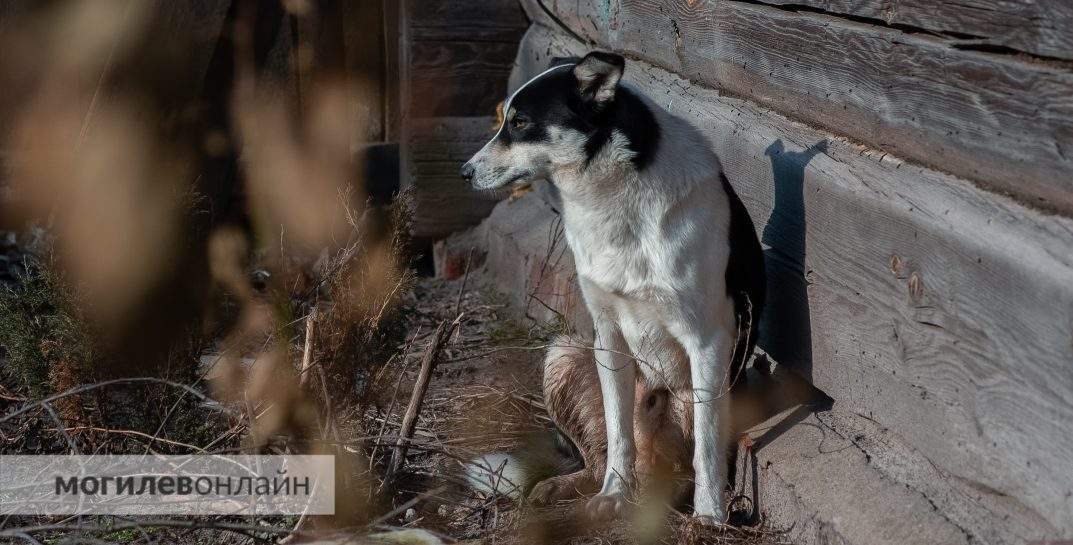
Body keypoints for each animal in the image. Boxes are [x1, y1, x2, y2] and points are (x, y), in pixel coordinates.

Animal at [461, 52, 763, 523]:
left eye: (521, 122)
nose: (464, 172)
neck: (615, 194)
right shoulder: (609, 335)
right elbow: (619, 434)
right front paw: (614, 495)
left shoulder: (708, 342)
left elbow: (709, 448)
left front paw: (710, 516)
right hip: (563, 352)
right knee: (600, 456)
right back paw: (570, 487)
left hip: (685, 393)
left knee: (685, 461)